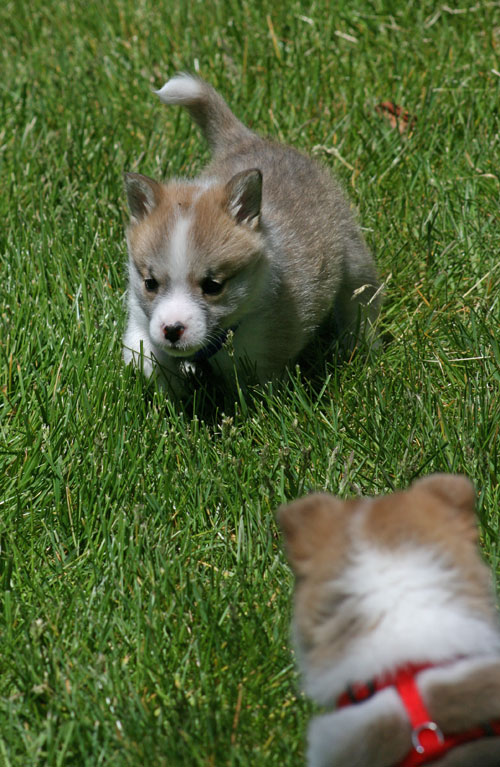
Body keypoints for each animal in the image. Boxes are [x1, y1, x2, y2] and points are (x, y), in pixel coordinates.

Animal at [123, 74, 380, 392]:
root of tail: (248, 139)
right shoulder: (140, 322)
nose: (172, 329)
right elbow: (148, 358)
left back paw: (362, 347)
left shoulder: (262, 358)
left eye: (213, 286)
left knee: (361, 303)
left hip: (354, 258)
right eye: (150, 283)